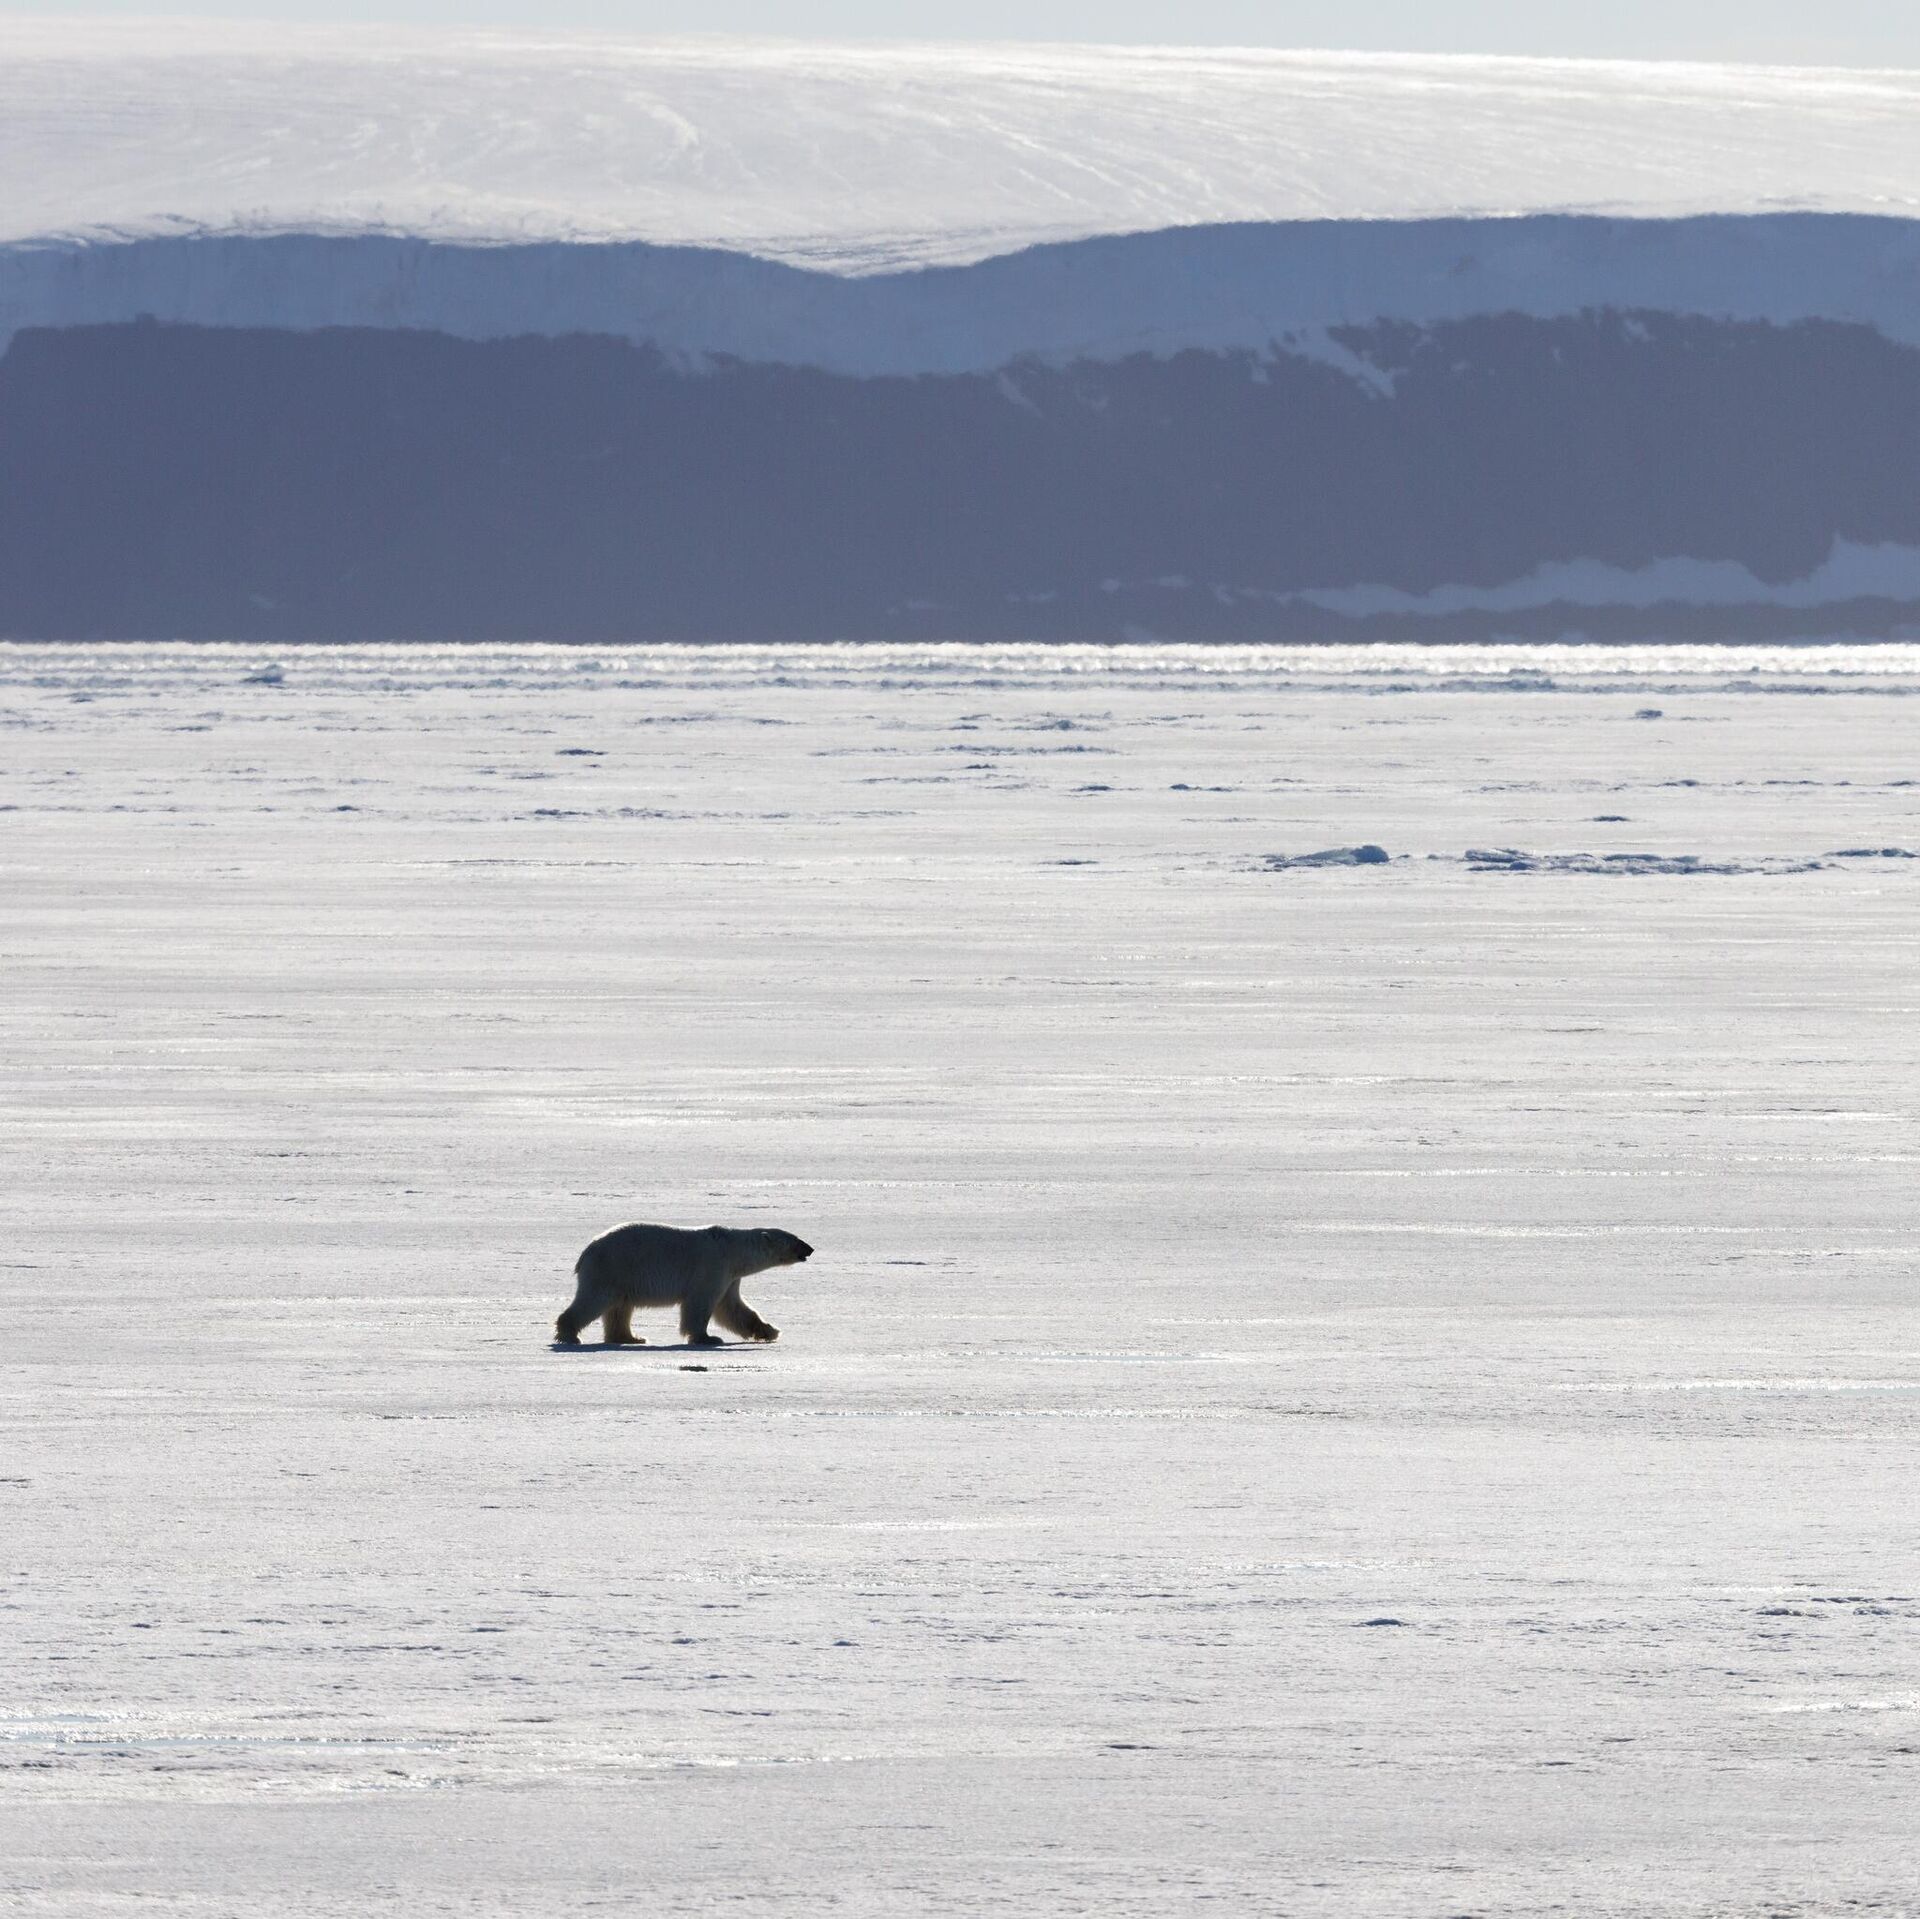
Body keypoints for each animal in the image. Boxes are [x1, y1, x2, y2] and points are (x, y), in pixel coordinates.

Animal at [554, 1221, 813, 1348]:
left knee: (620, 1309)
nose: (810, 1248)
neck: (733, 1248)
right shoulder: (713, 1266)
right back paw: (569, 1335)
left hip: (622, 1277)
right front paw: (708, 1338)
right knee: (594, 1300)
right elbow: (701, 1304)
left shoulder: (730, 1277)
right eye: (794, 1240)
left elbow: (733, 1308)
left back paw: (631, 1337)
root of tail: (586, 1251)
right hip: (611, 1268)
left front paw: (769, 1331)